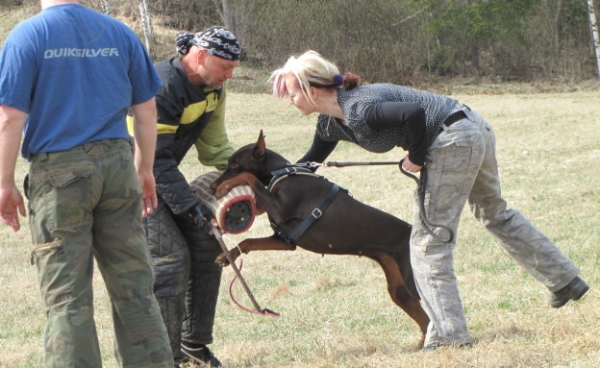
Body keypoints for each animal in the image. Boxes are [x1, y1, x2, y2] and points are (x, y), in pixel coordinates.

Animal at [211, 131, 432, 346]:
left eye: (234, 164)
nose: (213, 186)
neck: (280, 174)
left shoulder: (281, 211)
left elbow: (249, 177)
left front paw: (226, 186)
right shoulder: (285, 240)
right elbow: (248, 242)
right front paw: (226, 255)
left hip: (412, 279)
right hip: (399, 289)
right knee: (425, 318)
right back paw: (423, 344)